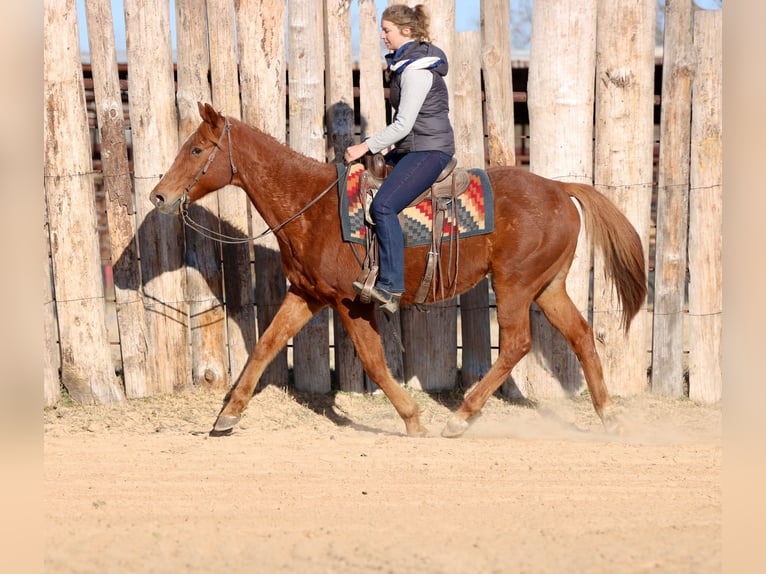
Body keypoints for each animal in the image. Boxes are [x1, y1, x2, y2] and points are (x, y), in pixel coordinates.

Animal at [150, 102, 647, 438]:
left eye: (196, 149)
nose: (159, 196)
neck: (313, 207)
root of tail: (561, 188)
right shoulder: (306, 294)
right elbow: (266, 345)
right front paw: (227, 416)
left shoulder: (350, 302)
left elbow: (373, 360)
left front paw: (412, 419)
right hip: (548, 287)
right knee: (581, 335)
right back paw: (608, 416)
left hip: (515, 285)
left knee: (516, 344)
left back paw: (461, 417)